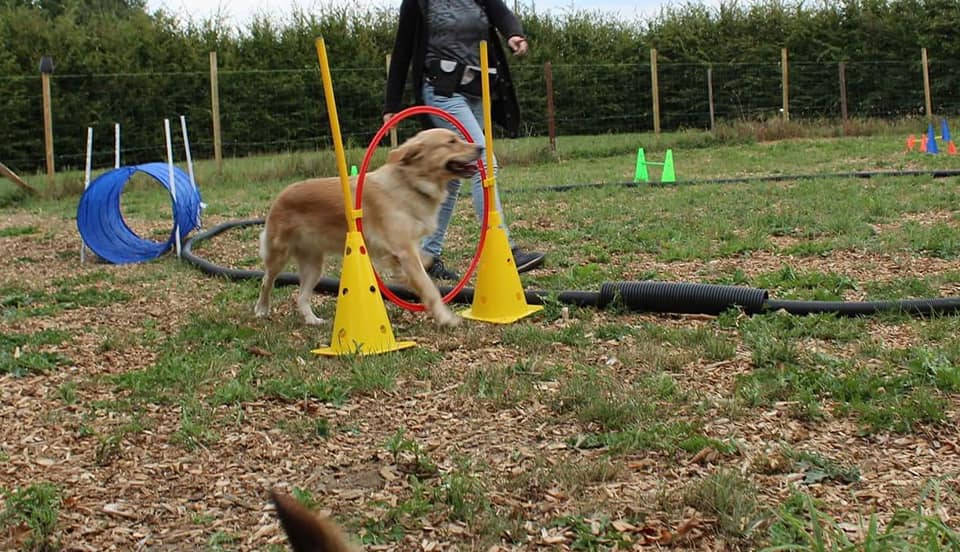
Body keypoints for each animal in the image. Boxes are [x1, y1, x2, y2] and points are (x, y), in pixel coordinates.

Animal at [255, 129, 484, 328]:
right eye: (451, 142)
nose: (481, 147)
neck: (411, 182)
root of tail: (281, 196)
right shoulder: (404, 249)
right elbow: (429, 287)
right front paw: (446, 318)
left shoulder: (403, 248)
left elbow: (417, 261)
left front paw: (407, 272)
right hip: (279, 255)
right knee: (267, 280)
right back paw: (261, 309)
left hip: (314, 265)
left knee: (301, 297)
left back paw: (313, 320)